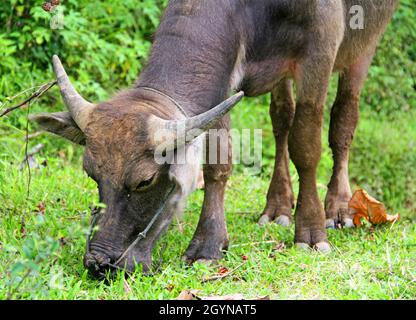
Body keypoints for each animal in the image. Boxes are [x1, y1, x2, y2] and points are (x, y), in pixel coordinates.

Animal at [30, 0, 398, 276]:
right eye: (92, 174)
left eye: (145, 181)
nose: (100, 261)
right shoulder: (221, 84)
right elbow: (218, 163)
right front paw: (208, 246)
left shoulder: (320, 50)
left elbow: (306, 145)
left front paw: (310, 233)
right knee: (281, 118)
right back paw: (277, 207)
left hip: (365, 45)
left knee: (343, 121)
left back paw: (339, 208)